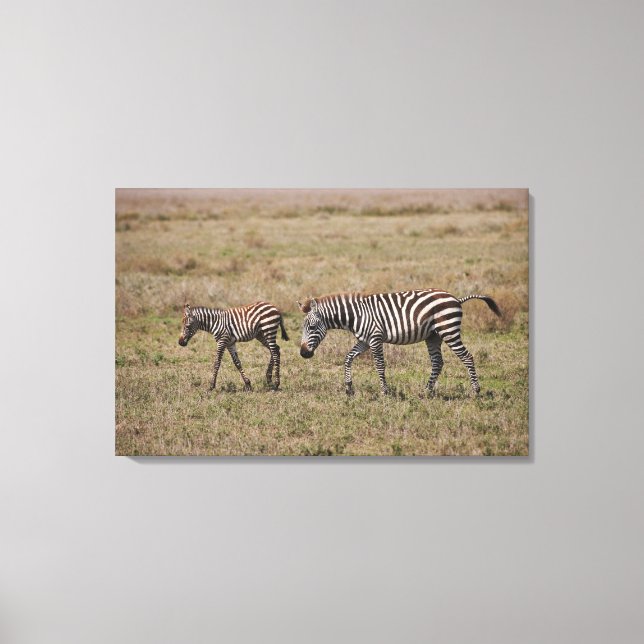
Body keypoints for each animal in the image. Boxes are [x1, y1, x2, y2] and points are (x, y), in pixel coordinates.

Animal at [297, 290, 501, 396]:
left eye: (313, 327)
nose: (303, 353)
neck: (357, 315)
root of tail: (456, 299)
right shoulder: (364, 341)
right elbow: (348, 358)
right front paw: (349, 388)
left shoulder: (375, 338)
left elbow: (379, 365)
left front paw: (385, 392)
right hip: (433, 336)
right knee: (437, 362)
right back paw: (426, 392)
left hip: (449, 331)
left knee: (467, 357)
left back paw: (476, 391)